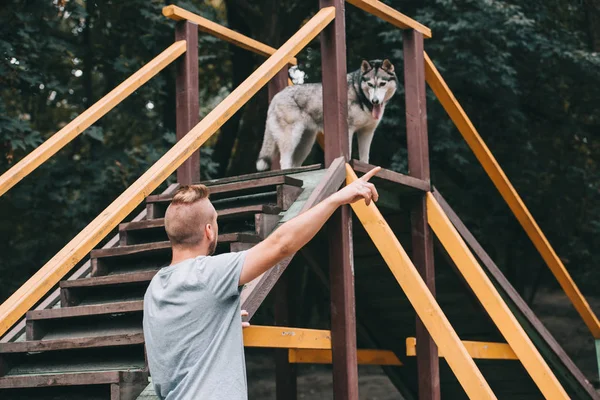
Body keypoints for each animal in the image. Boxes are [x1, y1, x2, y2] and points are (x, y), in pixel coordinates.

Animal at [255, 59, 396, 170]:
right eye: (370, 84)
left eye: (382, 84)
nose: (375, 101)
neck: (359, 92)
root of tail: (276, 96)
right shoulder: (348, 130)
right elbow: (348, 154)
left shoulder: (367, 132)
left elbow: (365, 159)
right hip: (291, 138)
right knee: (284, 161)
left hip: (305, 144)